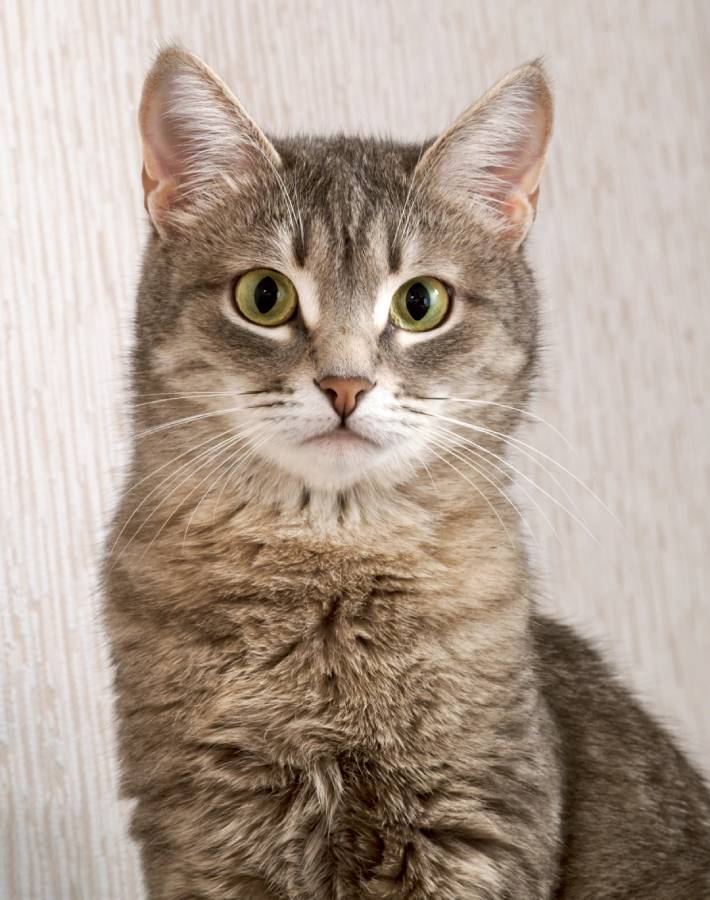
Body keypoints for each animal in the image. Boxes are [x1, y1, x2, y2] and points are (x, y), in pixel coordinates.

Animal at [104, 47, 710, 900]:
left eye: (420, 302)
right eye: (265, 295)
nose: (344, 385)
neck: (329, 575)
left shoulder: (475, 825)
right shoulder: (202, 838)